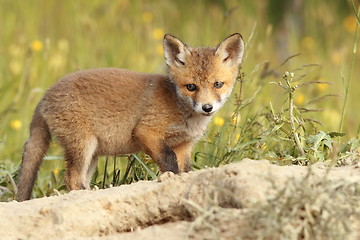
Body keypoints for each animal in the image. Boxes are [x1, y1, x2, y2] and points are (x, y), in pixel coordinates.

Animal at [16, 32, 245, 201]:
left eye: (217, 84)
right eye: (191, 87)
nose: (207, 107)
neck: (182, 112)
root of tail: (45, 96)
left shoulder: (183, 145)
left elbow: (185, 170)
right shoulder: (146, 132)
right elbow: (168, 161)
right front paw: (170, 181)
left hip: (92, 153)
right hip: (83, 146)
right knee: (71, 179)